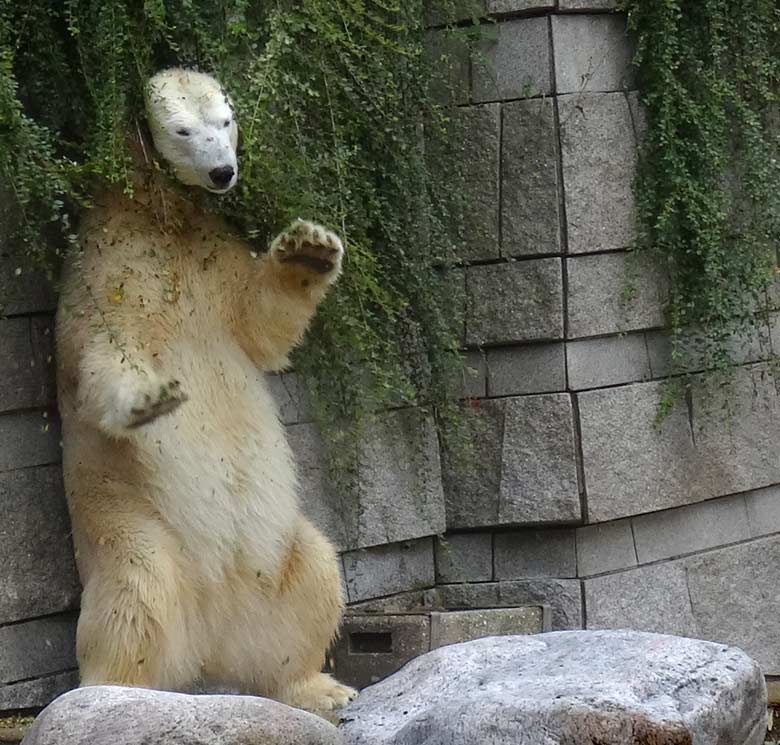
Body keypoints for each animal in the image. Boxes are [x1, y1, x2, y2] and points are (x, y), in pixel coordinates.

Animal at [56, 68, 358, 708]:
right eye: (181, 129)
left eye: (227, 120)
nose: (223, 172)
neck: (157, 220)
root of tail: (212, 643)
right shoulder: (105, 272)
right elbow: (100, 357)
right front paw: (150, 398)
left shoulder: (214, 262)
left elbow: (260, 321)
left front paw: (310, 250)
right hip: (127, 517)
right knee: (136, 592)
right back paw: (113, 693)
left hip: (275, 558)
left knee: (317, 571)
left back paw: (318, 687)